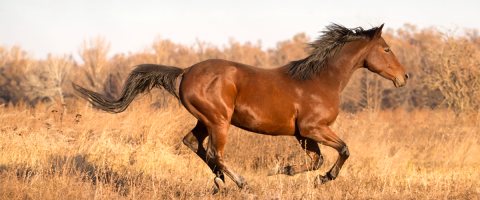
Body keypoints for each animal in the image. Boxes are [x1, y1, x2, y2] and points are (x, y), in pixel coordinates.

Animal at [74, 23, 408, 189]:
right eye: (386, 49)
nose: (404, 77)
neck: (320, 80)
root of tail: (186, 70)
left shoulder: (303, 134)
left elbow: (315, 160)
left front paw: (284, 170)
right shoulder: (314, 128)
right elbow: (344, 150)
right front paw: (324, 179)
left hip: (206, 120)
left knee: (192, 142)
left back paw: (220, 181)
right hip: (219, 121)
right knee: (214, 153)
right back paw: (239, 183)